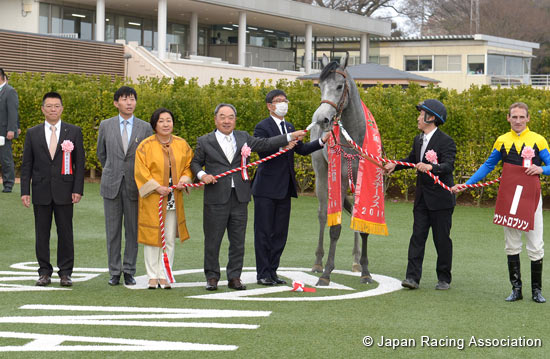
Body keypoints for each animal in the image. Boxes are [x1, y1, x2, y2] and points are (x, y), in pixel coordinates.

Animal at [310, 53, 376, 286]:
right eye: (320, 86)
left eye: (339, 86)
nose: (322, 119)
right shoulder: (337, 180)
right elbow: (335, 228)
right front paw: (327, 273)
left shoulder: (362, 181)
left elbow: (362, 226)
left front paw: (365, 271)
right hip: (321, 175)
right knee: (322, 215)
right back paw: (318, 263)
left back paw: (356, 262)